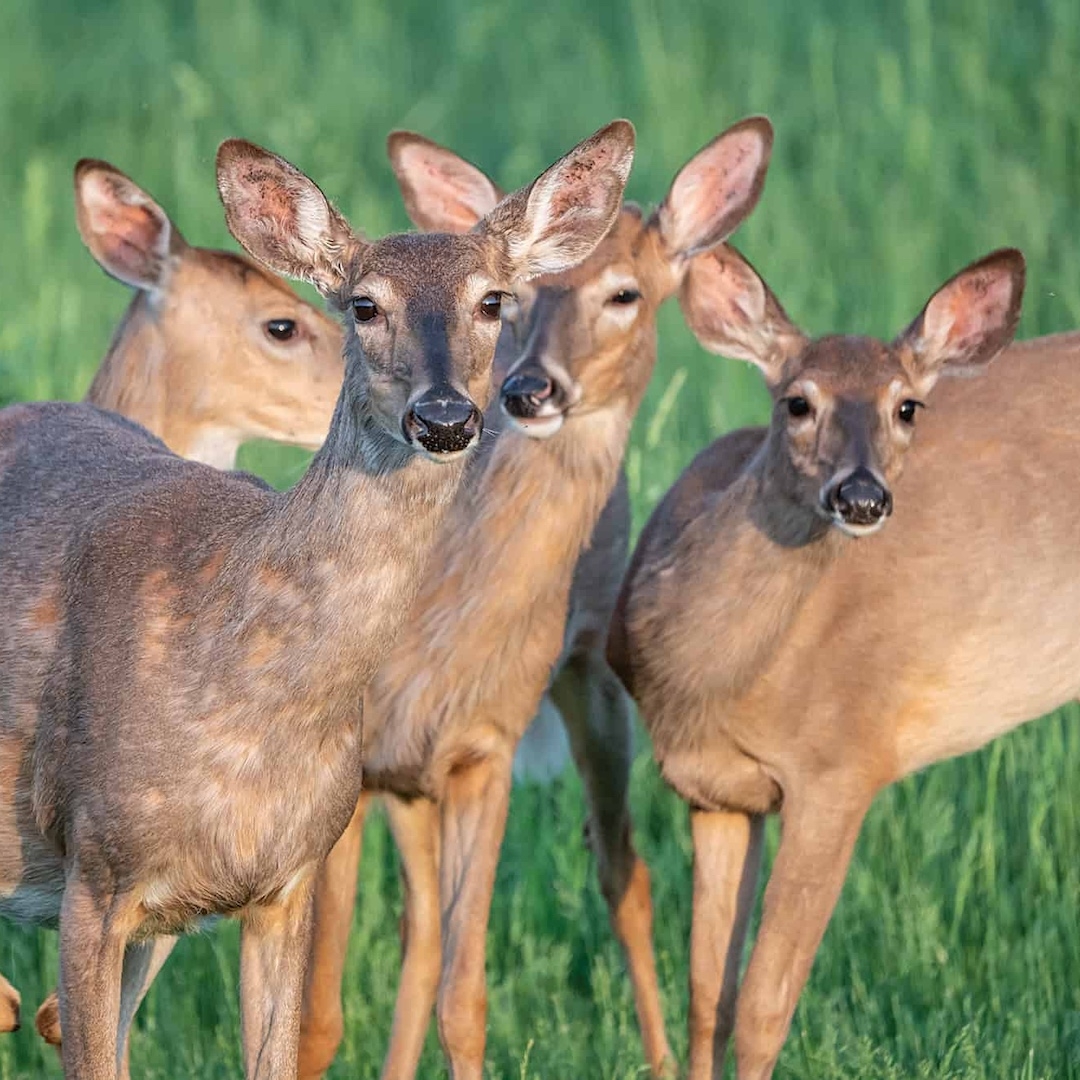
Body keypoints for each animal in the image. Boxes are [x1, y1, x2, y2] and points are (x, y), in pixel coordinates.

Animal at [293, 116, 777, 1080]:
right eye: (514, 302)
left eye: (626, 293)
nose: (529, 389)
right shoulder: (363, 761)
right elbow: (320, 1015)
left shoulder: (486, 746)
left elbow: (466, 999)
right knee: (420, 934)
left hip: (590, 679)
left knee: (624, 877)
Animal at [607, 242, 1032, 1080]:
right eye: (797, 402)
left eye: (909, 407)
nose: (861, 496)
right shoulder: (714, 791)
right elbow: (709, 995)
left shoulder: (841, 768)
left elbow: (762, 1007)